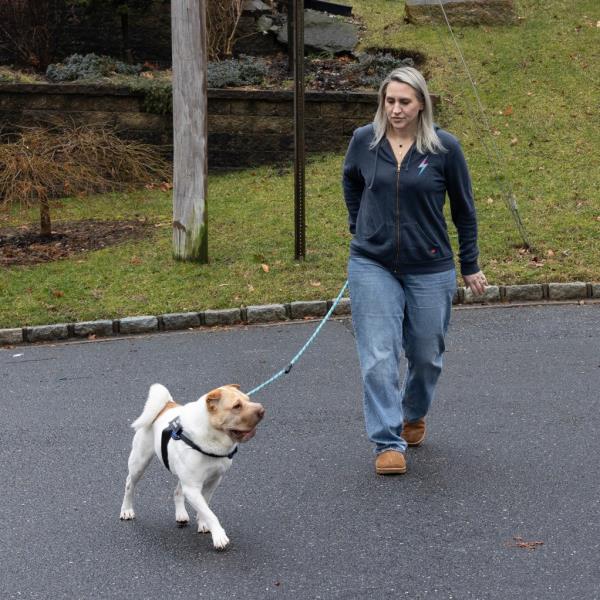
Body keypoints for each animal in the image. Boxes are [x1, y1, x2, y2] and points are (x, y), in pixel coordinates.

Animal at [119, 384, 264, 548]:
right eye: (237, 406)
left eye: (248, 399)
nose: (262, 410)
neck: (212, 438)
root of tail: (166, 405)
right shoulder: (192, 488)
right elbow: (210, 513)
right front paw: (219, 536)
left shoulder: (213, 481)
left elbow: (205, 507)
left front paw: (203, 524)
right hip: (139, 462)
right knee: (129, 485)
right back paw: (126, 510)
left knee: (177, 491)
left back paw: (181, 514)